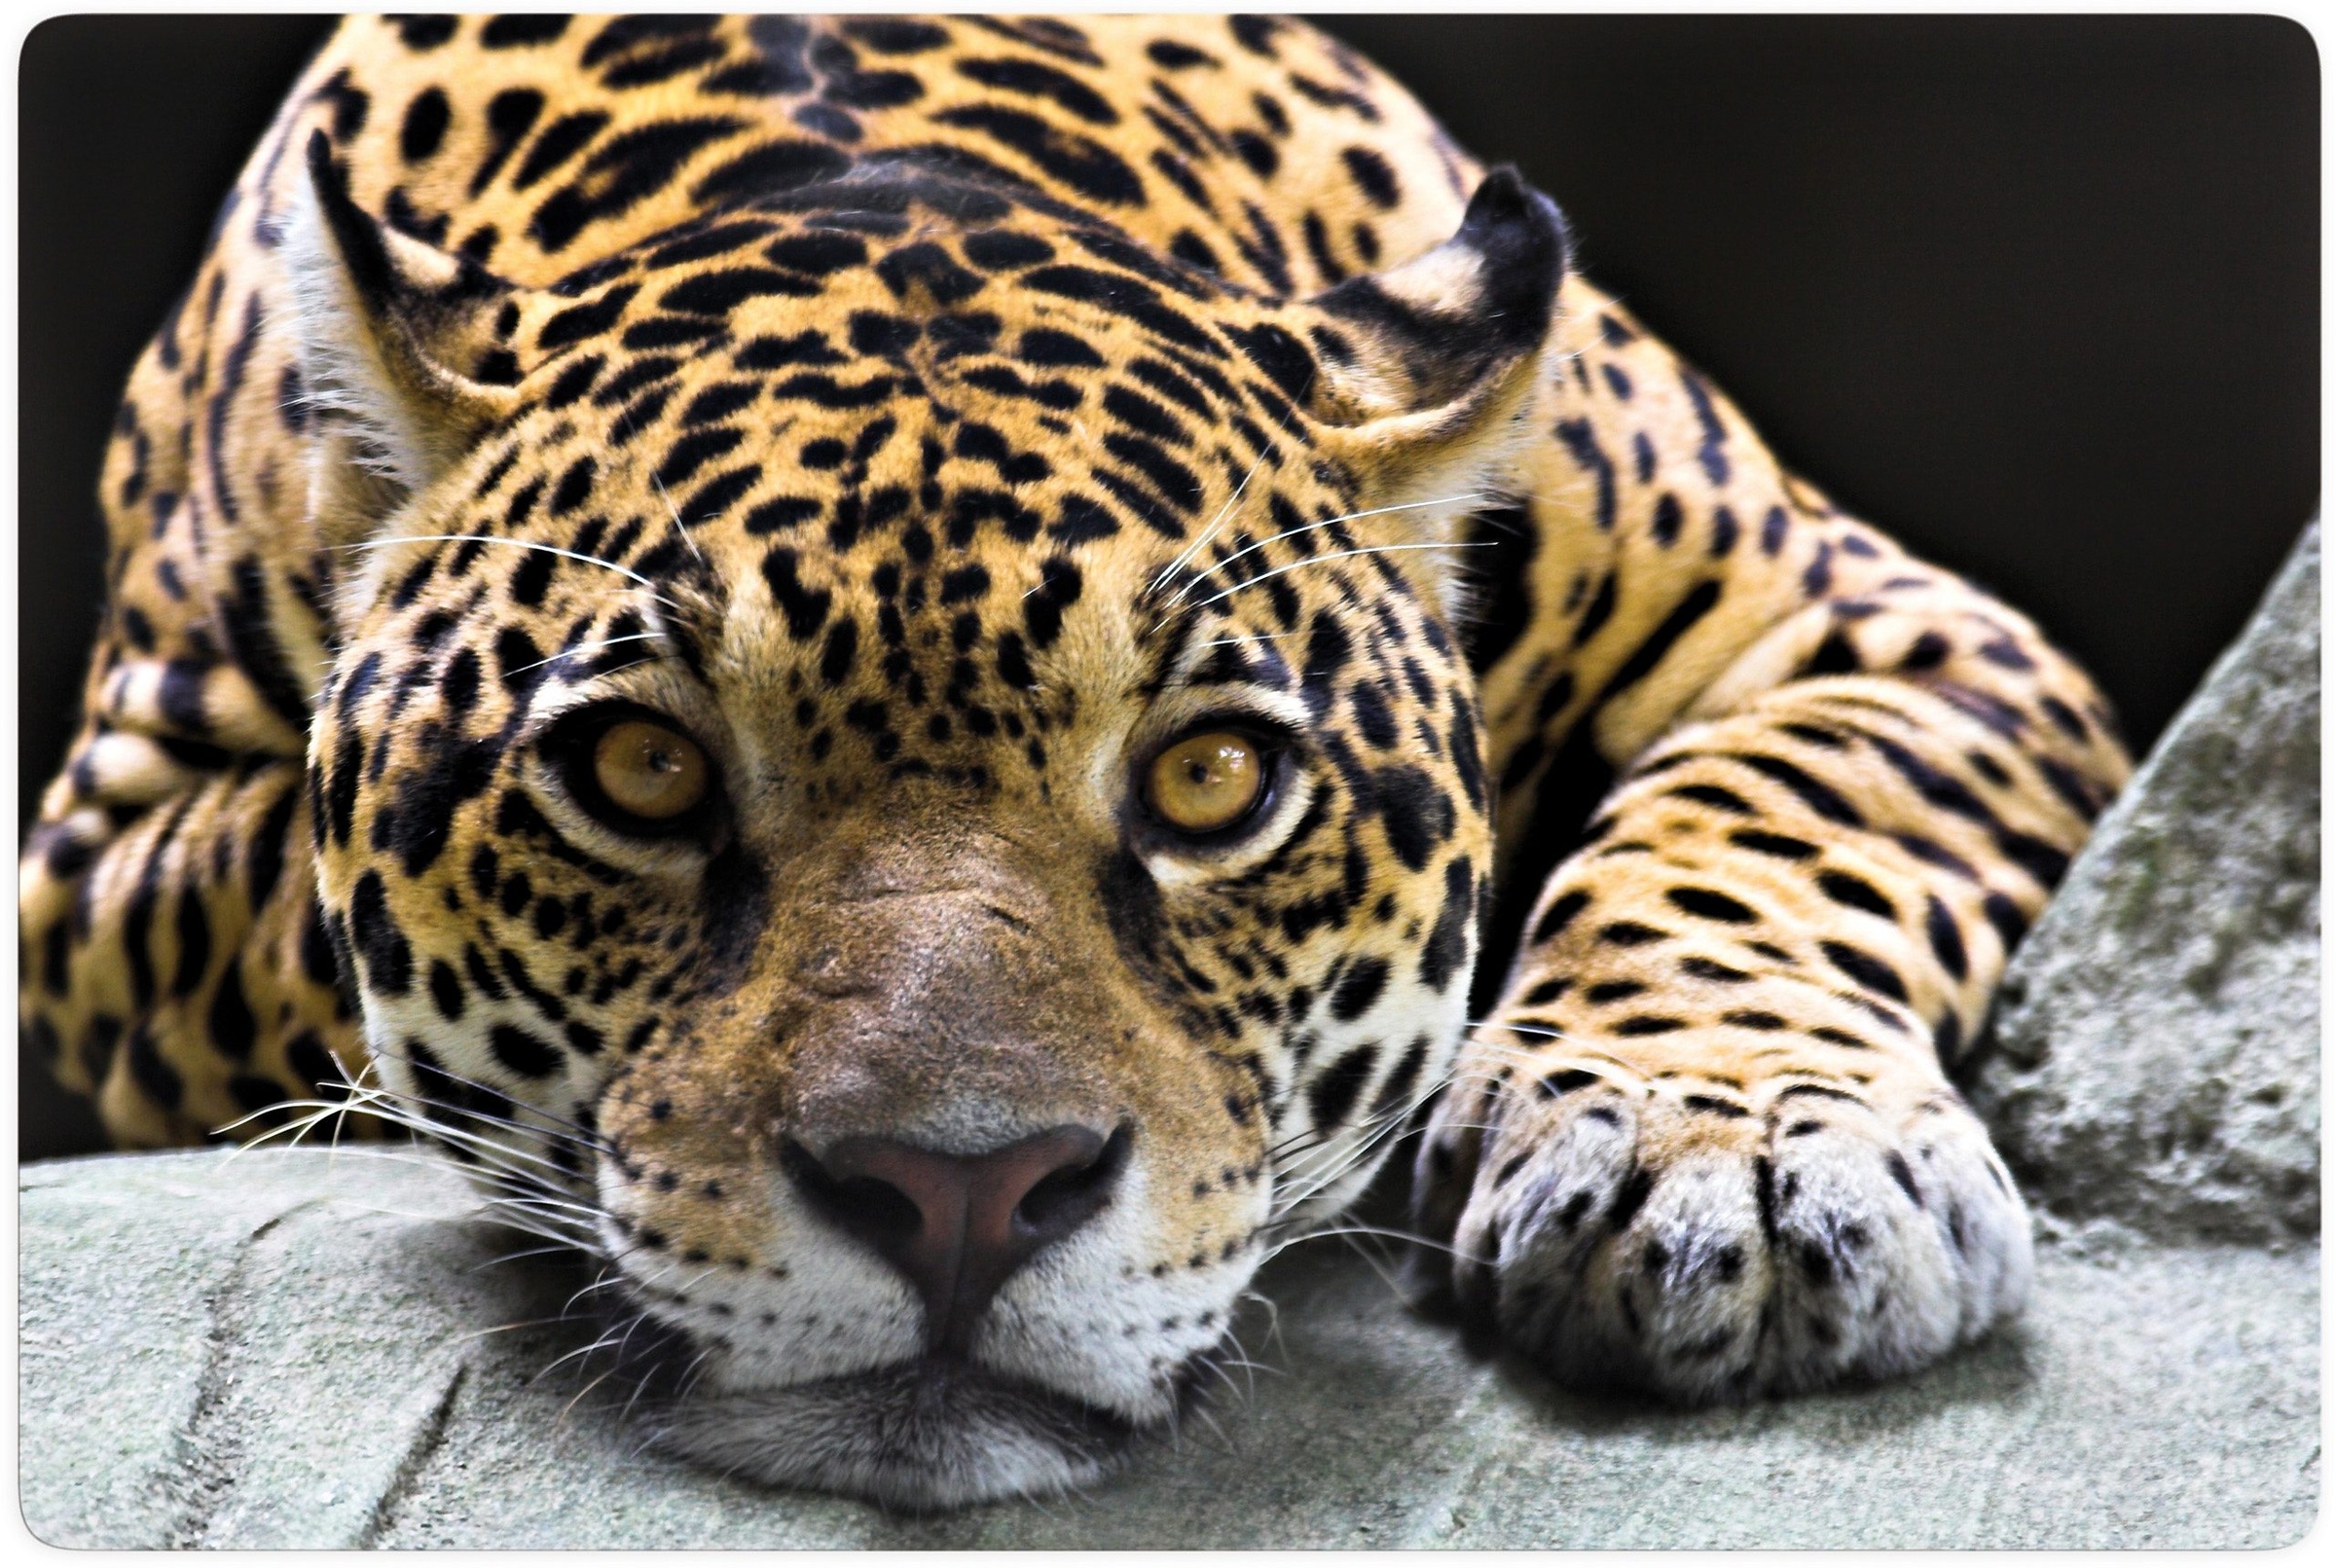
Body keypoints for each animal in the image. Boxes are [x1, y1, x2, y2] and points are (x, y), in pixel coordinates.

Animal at [19, 14, 2130, 1510]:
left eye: (1212, 782)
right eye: (637, 774)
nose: (964, 1196)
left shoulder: (1868, 623)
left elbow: (1762, 831)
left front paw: (1739, 1163)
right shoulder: (101, 864)